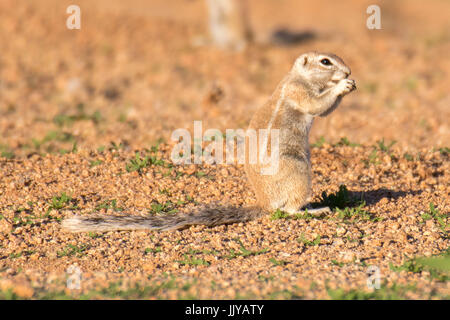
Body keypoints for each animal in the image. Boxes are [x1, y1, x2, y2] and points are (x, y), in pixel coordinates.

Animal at [62, 52, 356, 232]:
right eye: (326, 61)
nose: (348, 71)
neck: (296, 76)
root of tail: (263, 203)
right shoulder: (300, 92)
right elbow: (317, 105)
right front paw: (342, 87)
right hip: (299, 172)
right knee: (288, 209)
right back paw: (315, 210)